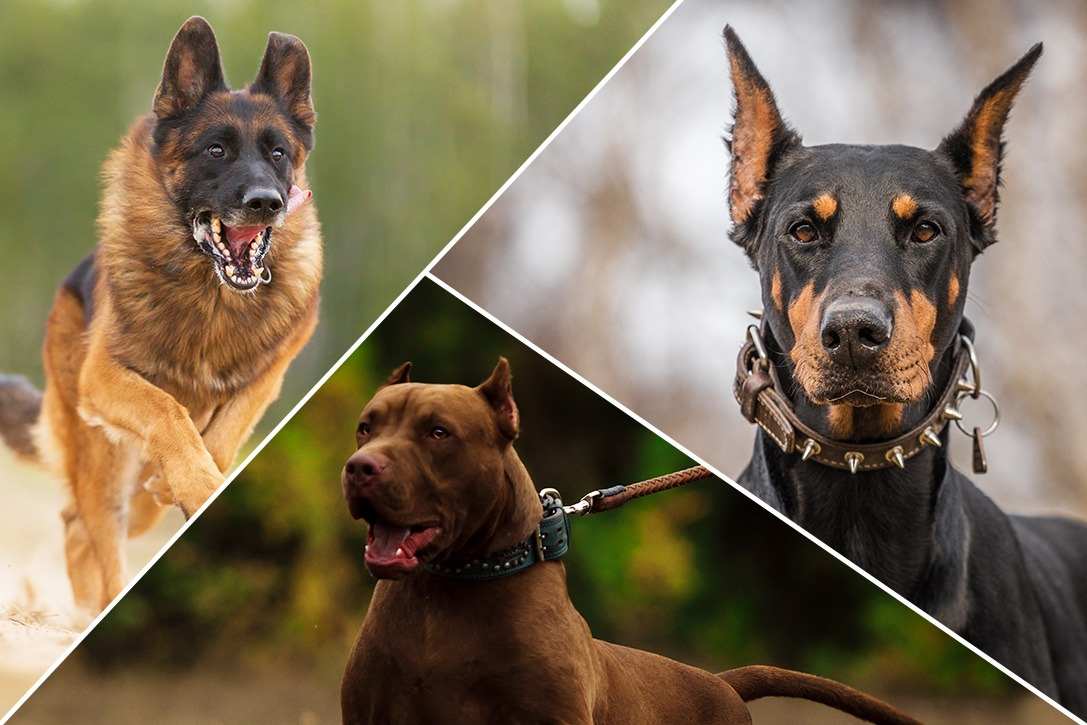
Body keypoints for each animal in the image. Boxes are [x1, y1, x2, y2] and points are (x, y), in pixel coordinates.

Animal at [0, 18, 319, 613]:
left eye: (279, 153)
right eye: (215, 150)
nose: (266, 202)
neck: (211, 296)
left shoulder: (269, 376)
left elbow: (223, 435)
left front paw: (192, 482)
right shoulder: (103, 378)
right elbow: (167, 410)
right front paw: (195, 484)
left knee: (93, 520)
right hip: (99, 457)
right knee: (92, 528)